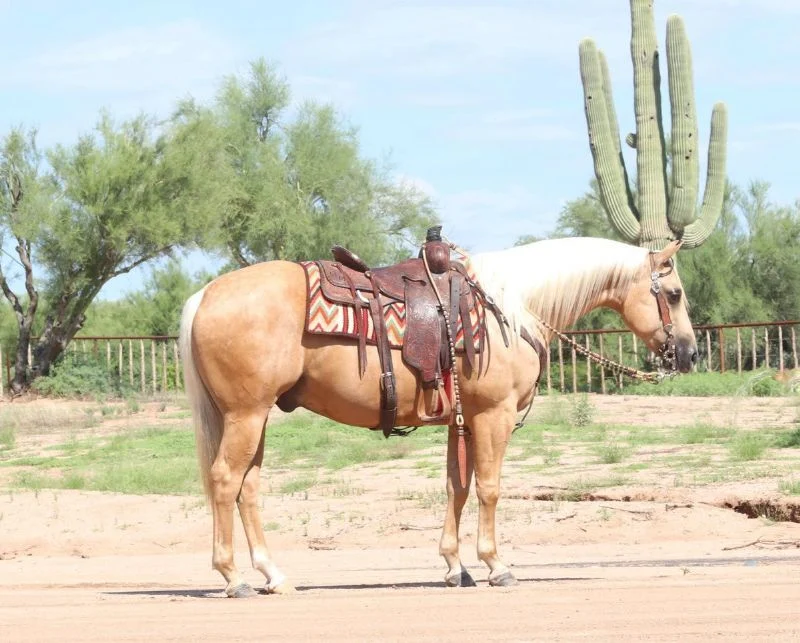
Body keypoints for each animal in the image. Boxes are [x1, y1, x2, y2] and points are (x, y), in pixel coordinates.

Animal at [178, 235, 697, 596]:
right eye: (673, 293)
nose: (689, 354)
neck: (511, 309)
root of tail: (205, 295)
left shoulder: (459, 422)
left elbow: (457, 488)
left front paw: (454, 566)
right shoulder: (492, 416)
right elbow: (489, 489)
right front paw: (496, 566)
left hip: (253, 417)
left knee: (247, 488)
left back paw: (273, 574)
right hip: (245, 415)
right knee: (225, 481)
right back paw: (233, 578)